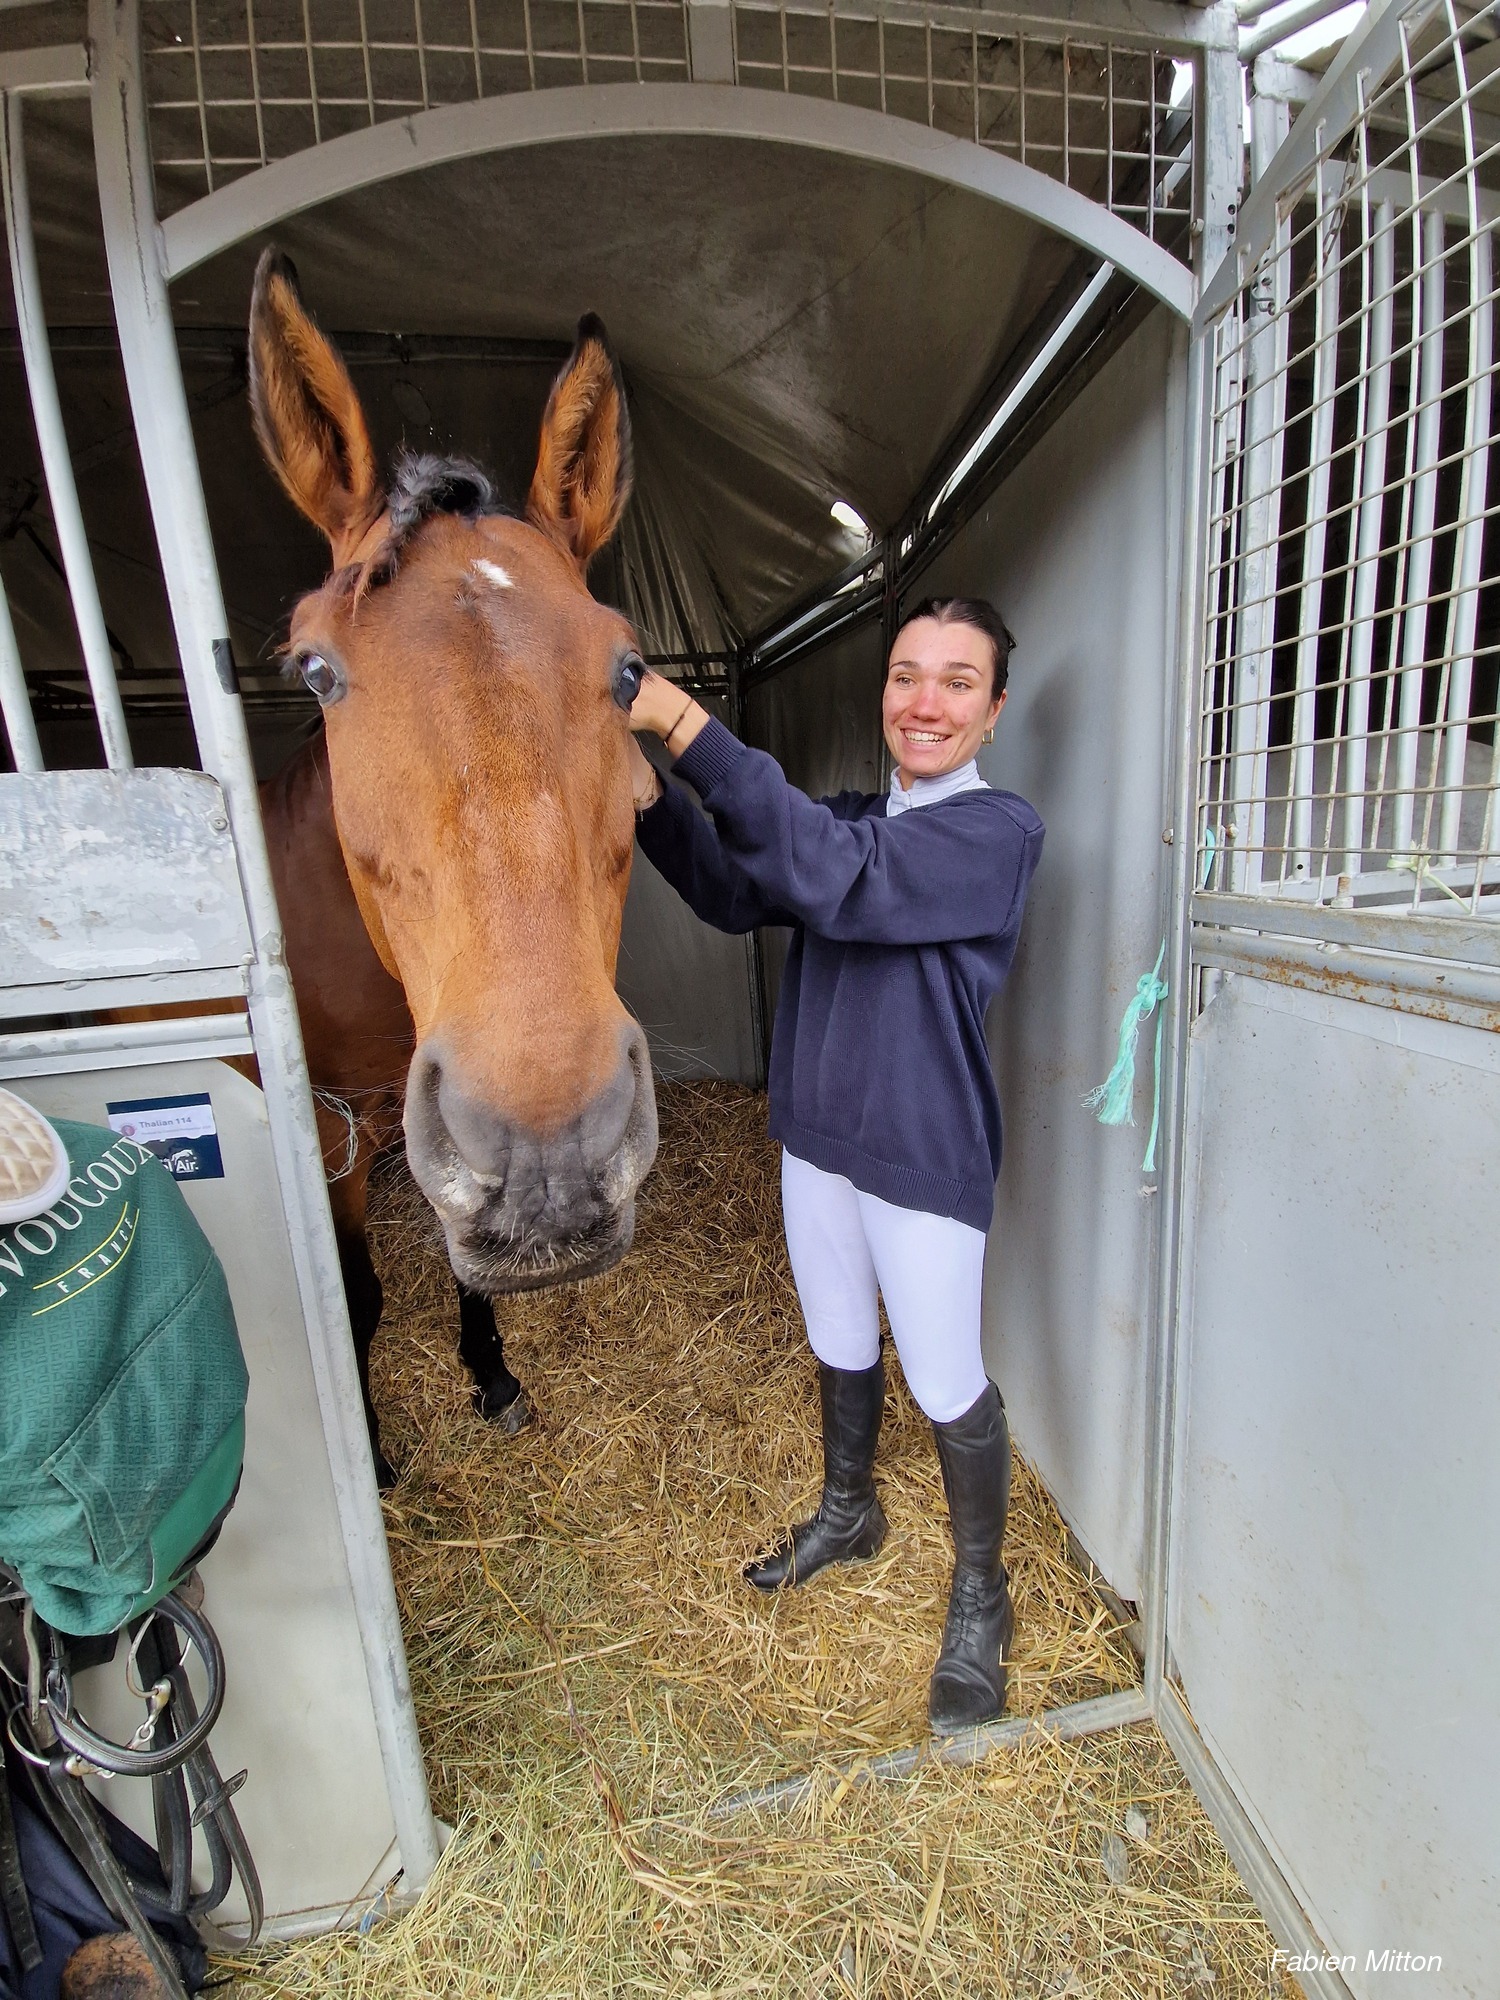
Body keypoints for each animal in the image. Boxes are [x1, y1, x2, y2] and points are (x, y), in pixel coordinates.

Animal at [247, 248, 659, 1485]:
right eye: (316, 667)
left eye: (628, 668)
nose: (549, 1148)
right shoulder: (334, 1120)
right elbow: (357, 1292)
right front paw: (371, 1454)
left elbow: (459, 1265)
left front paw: (492, 1371)